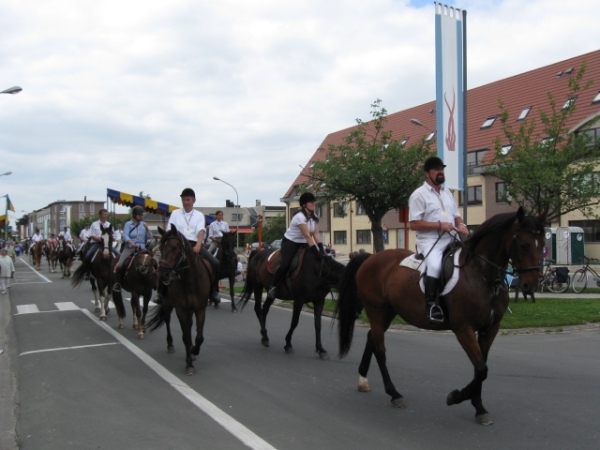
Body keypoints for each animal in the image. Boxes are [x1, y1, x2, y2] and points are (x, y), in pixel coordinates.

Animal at [146, 223, 212, 374]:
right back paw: (170, 345)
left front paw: (194, 351)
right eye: (160, 247)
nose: (163, 274)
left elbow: (199, 336)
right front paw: (189, 364)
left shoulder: (200, 309)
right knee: (167, 320)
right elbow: (186, 336)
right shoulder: (180, 309)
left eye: (174, 247)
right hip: (167, 305)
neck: (190, 280)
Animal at [336, 207, 548, 426]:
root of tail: (371, 257)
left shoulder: (490, 329)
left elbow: (481, 368)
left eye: (543, 244)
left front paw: (479, 408)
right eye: (523, 244)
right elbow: (481, 368)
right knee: (380, 349)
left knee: (372, 337)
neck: (482, 275)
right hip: (376, 309)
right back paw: (394, 394)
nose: (530, 285)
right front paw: (456, 397)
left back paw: (363, 380)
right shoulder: (463, 329)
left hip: (388, 311)